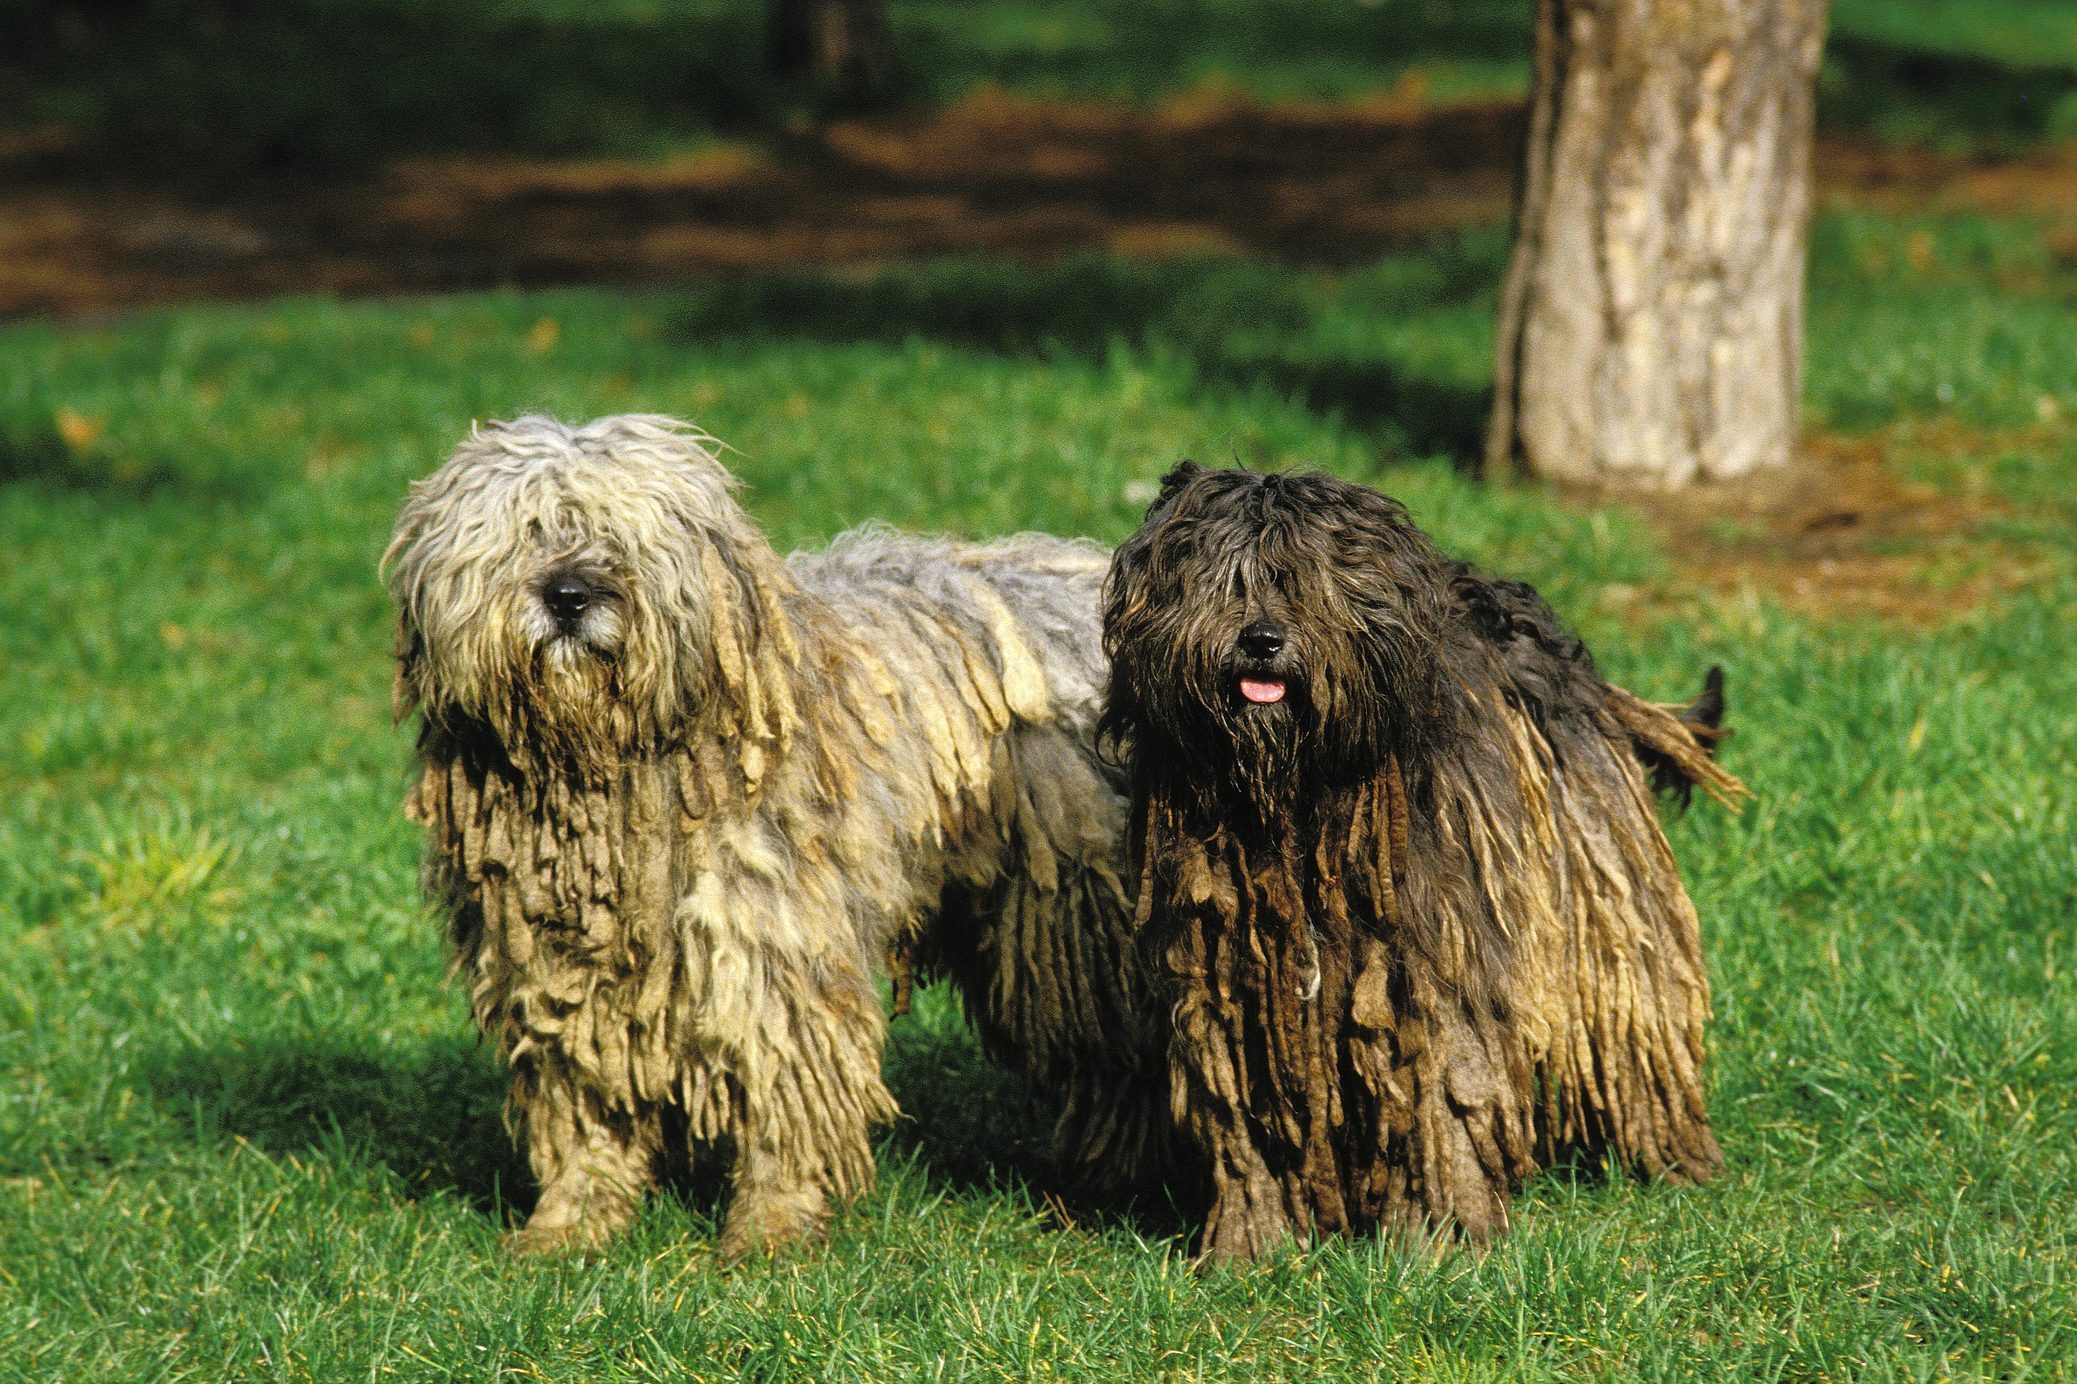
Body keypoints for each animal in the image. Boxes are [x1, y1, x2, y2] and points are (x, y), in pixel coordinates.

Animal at [388, 409, 1163, 1246]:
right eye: (526, 532)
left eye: (622, 536)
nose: (569, 594)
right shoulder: (553, 965)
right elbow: (584, 1093)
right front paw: (571, 1222)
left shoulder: (768, 940)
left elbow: (783, 1076)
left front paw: (772, 1228)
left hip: (1076, 910)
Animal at [1096, 463, 1744, 1263]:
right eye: (1223, 580)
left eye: (1309, 581)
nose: (1262, 640)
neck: (1296, 800)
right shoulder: (1231, 982)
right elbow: (1241, 1112)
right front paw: (1254, 1243)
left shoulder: (1431, 964)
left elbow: (1444, 1094)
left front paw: (1441, 1235)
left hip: (1604, 883)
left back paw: (1677, 1158)